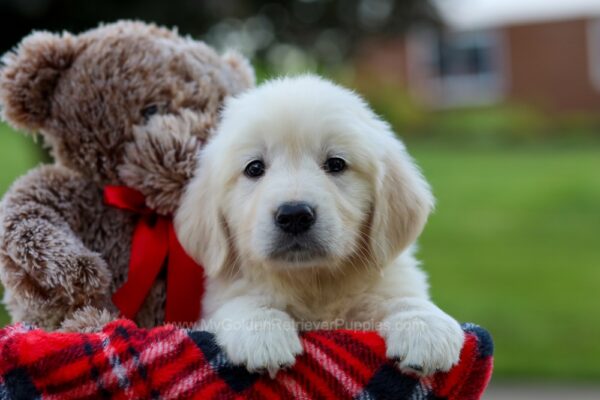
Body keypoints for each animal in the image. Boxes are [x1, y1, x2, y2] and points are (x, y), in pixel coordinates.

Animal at [175, 76, 464, 378]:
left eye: (336, 164)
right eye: (254, 168)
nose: (294, 215)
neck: (314, 283)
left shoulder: (387, 282)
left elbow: (402, 297)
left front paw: (425, 326)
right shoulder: (220, 300)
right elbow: (243, 302)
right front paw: (262, 333)